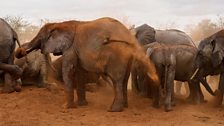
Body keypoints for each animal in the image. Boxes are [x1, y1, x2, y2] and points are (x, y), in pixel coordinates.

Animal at [14, 17, 159, 111]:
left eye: (41, 37)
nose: (21, 52)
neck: (60, 24)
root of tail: (130, 37)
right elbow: (79, 72)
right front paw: (82, 105)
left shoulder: (70, 48)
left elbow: (69, 71)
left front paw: (66, 108)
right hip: (127, 56)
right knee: (123, 80)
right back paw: (124, 106)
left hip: (117, 54)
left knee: (117, 80)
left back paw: (113, 109)